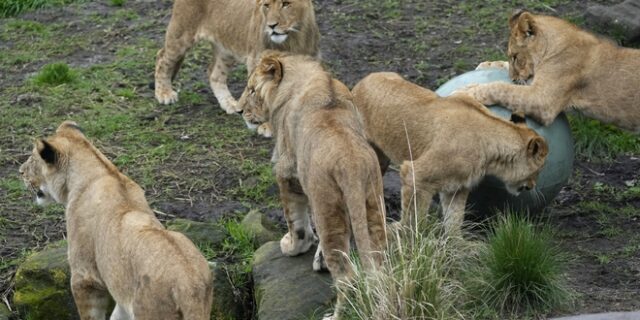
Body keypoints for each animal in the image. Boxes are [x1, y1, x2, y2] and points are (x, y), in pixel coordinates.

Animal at [19, 120, 212, 320]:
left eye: (32, 160)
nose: (20, 172)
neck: (104, 171)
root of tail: (190, 285)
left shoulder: (85, 277)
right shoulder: (121, 295)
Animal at [155, 0, 320, 114]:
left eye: (286, 4)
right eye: (266, 5)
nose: (271, 26)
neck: (293, 38)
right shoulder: (255, 62)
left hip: (226, 49)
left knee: (215, 74)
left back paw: (229, 103)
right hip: (182, 34)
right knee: (162, 57)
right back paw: (163, 93)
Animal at [352, 72, 548, 232]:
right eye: (538, 171)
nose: (533, 186)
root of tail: (361, 82)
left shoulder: (457, 187)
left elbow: (455, 219)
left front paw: (456, 246)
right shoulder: (415, 175)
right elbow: (414, 218)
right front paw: (408, 239)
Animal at [458, 10, 640, 131]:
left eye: (515, 56)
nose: (513, 78)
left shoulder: (543, 100)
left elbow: (501, 88)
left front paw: (465, 92)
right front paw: (486, 65)